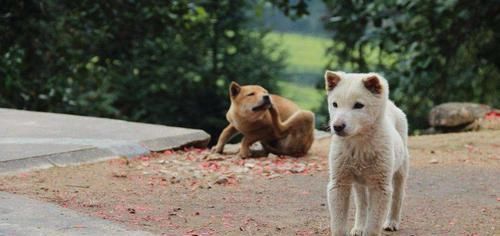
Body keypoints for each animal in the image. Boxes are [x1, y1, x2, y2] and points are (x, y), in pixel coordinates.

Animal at [324, 71, 410, 235]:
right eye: (335, 104)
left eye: (358, 105)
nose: (337, 126)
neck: (359, 143)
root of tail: (391, 104)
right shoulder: (339, 182)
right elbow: (338, 222)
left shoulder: (380, 185)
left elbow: (374, 223)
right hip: (359, 182)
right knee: (362, 204)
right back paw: (359, 228)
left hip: (400, 168)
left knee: (398, 196)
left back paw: (392, 222)